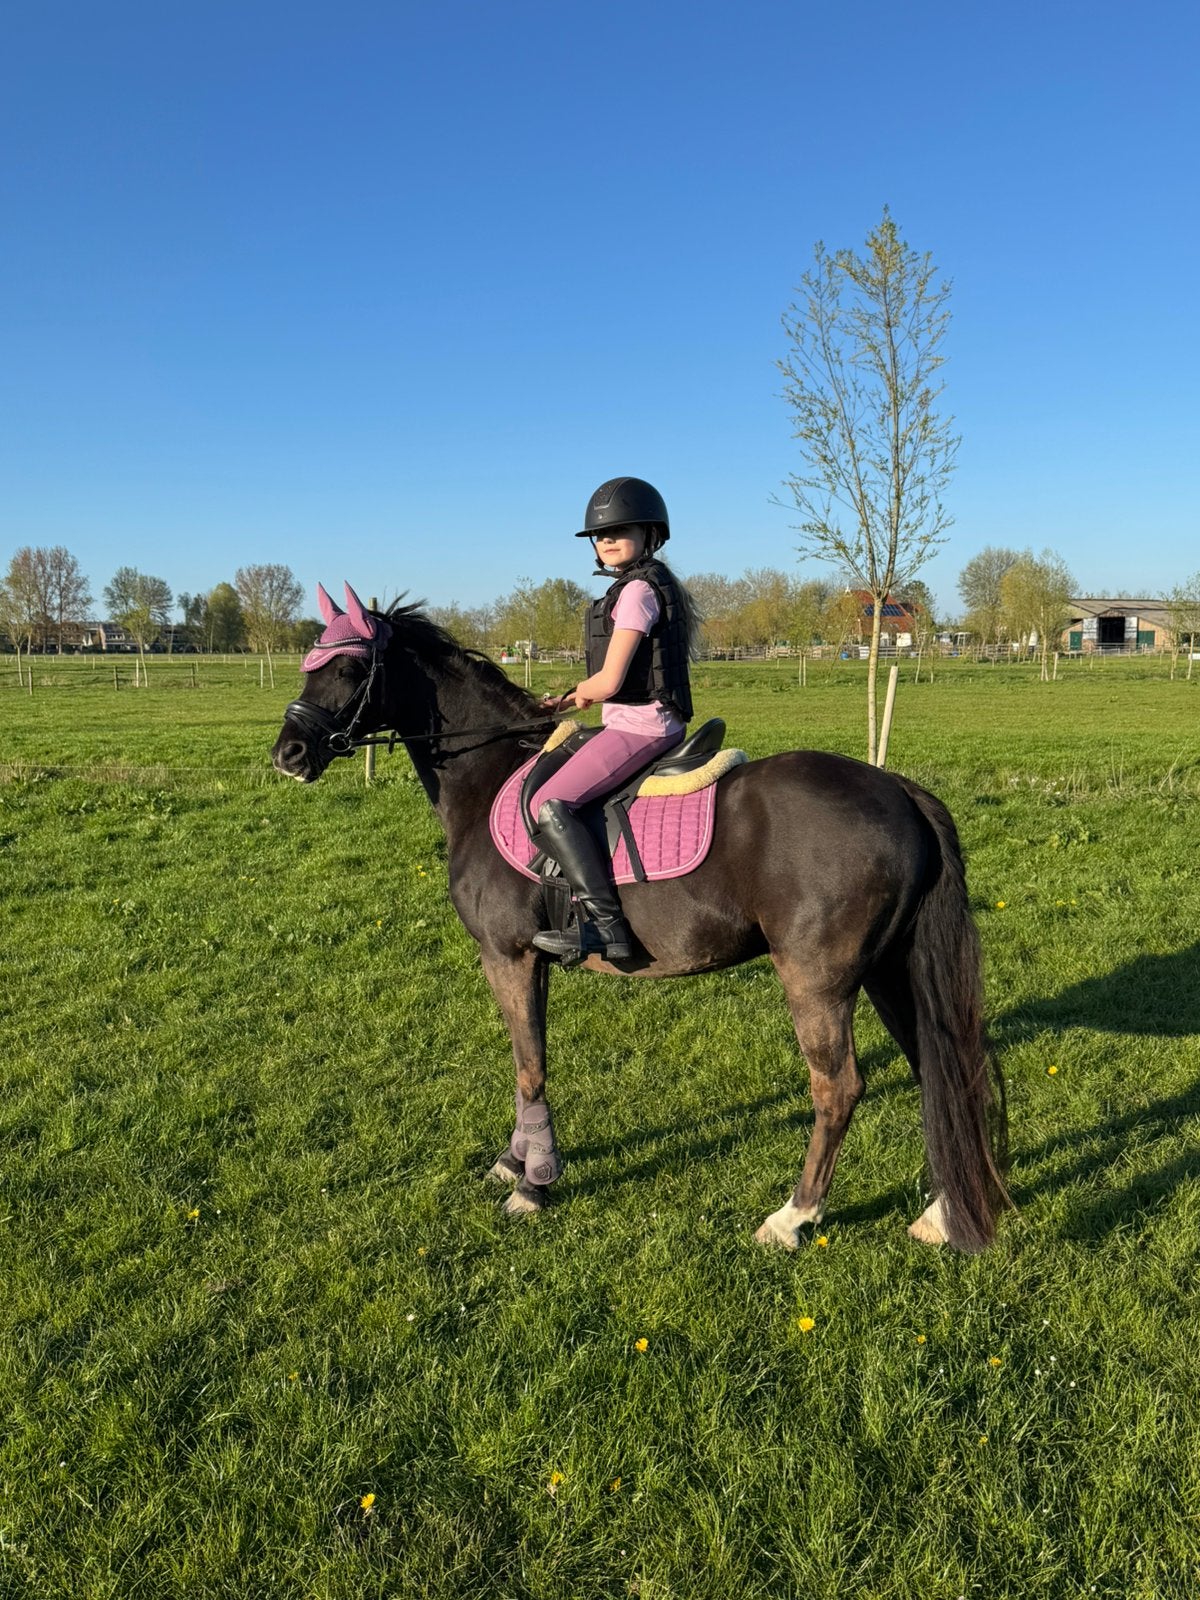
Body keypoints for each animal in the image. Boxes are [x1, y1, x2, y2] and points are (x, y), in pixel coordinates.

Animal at [272, 597, 1009, 1251]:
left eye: (349, 667)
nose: (289, 753)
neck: (489, 775)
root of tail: (898, 790)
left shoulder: (508, 955)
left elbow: (529, 1064)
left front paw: (534, 1183)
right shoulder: (530, 959)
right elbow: (529, 1058)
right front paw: (518, 1161)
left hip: (817, 981)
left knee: (839, 1089)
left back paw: (792, 1218)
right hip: (887, 969)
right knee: (937, 1066)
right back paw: (942, 1213)